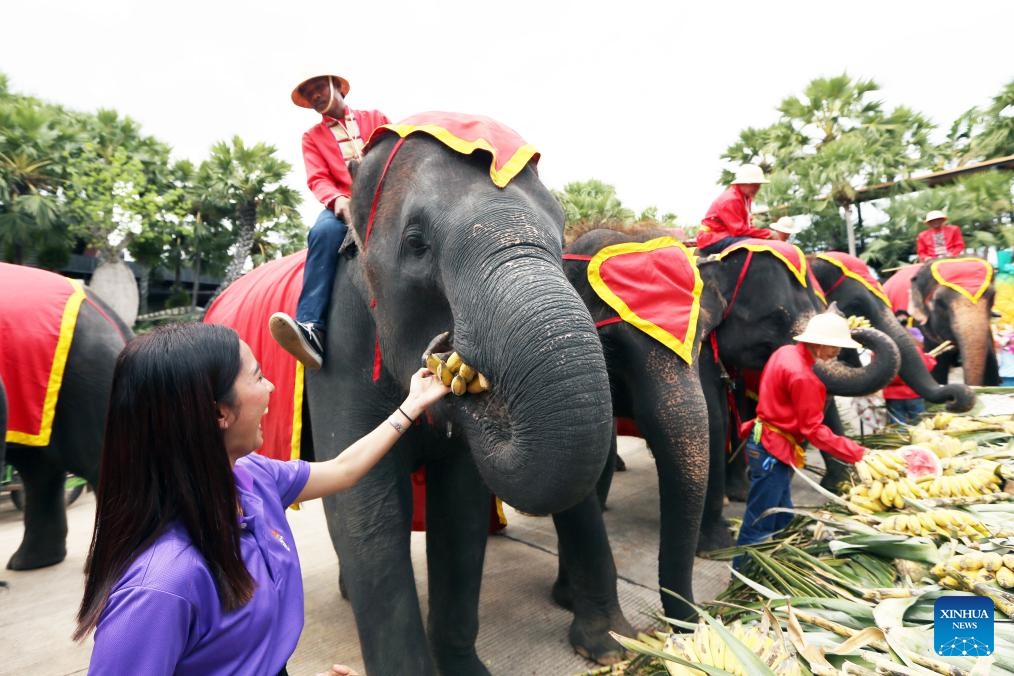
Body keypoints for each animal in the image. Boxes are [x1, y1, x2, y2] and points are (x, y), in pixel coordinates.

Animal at [306, 115, 619, 674]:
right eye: (415, 243)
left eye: (562, 235)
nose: (447, 362)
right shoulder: (340, 347)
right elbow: (367, 508)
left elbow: (462, 509)